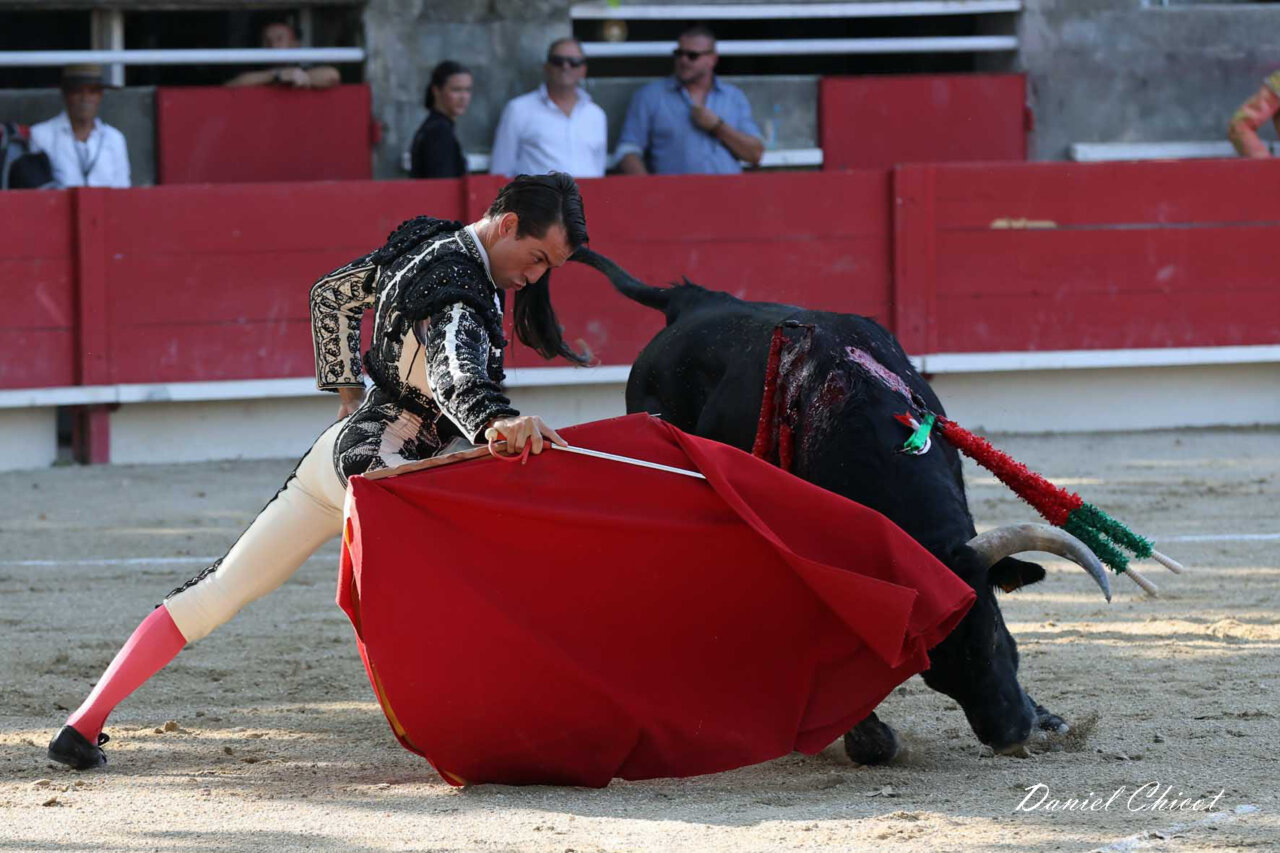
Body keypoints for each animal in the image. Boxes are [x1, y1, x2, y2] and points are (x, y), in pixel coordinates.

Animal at [571, 248, 1112, 764]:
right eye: (930, 657)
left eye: (997, 632)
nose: (1010, 734)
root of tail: (689, 299)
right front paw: (868, 736)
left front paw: (1050, 719)